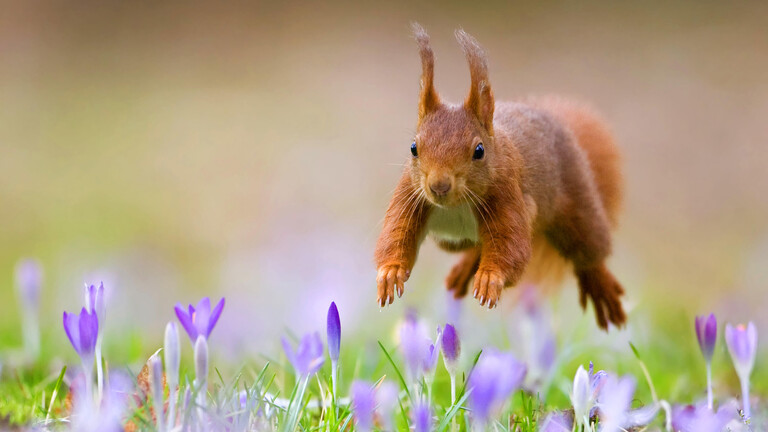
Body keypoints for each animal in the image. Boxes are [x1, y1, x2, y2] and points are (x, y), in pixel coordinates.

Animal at [374, 24, 627, 330]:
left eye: (479, 151)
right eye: (413, 148)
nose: (439, 186)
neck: (456, 206)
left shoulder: (507, 196)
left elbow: (511, 248)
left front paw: (489, 278)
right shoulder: (410, 196)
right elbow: (396, 233)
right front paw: (390, 273)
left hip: (577, 205)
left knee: (589, 249)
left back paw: (602, 288)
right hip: (452, 240)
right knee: (476, 247)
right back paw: (463, 271)